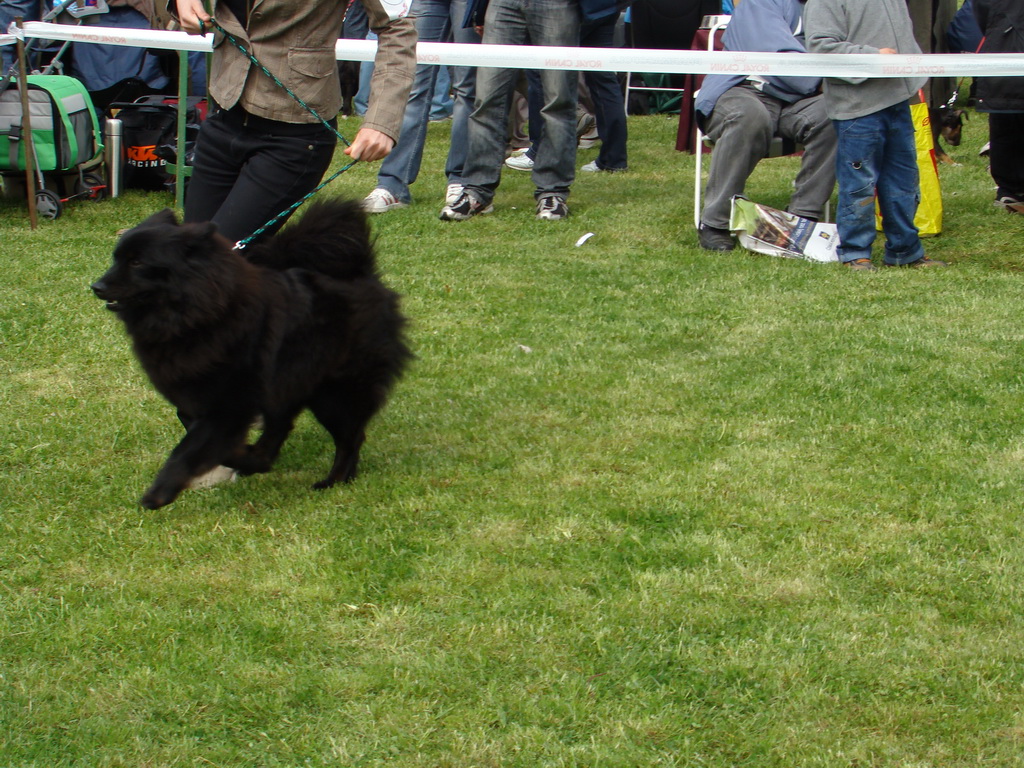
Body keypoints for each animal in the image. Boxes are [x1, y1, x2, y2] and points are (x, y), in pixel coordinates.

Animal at [92, 199, 411, 512]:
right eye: (116, 259)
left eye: (137, 262)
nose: (96, 286)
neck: (195, 316)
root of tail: (362, 274)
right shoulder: (198, 396)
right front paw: (241, 459)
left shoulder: (228, 403)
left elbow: (188, 449)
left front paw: (160, 491)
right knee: (285, 430)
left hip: (334, 393)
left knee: (350, 437)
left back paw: (333, 480)